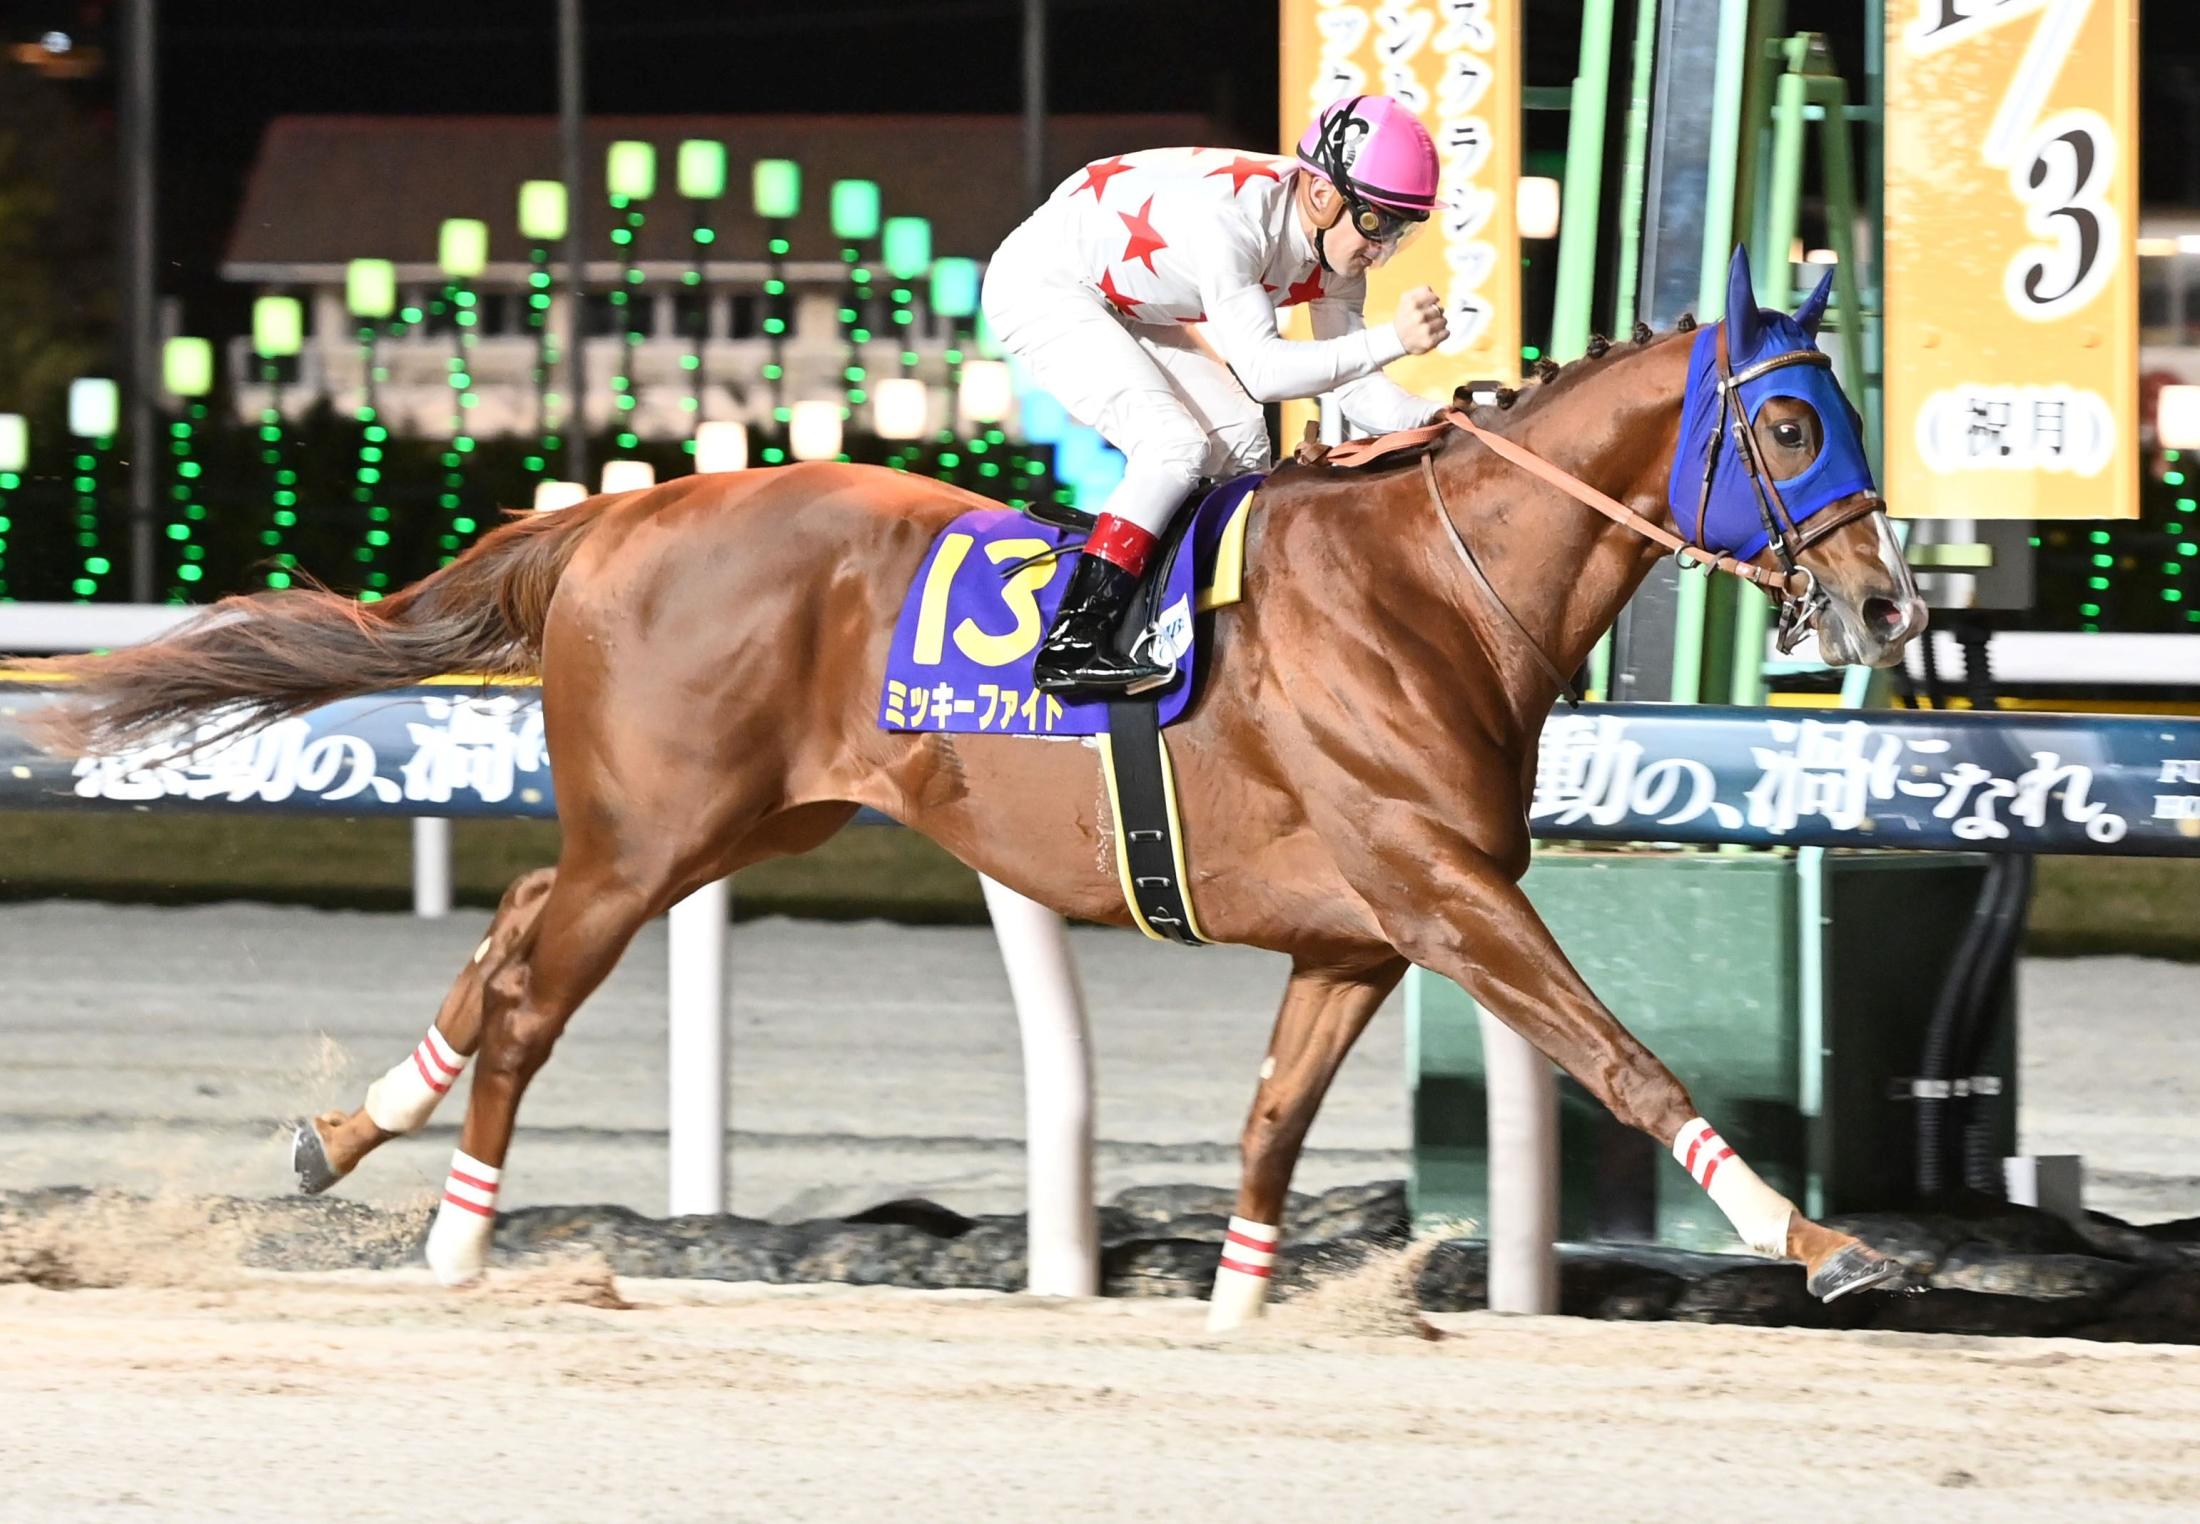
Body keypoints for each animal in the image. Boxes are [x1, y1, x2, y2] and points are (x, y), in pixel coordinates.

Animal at [24, 249, 1925, 1326]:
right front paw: (1828, 1242)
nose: (1893, 601)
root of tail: (620, 513)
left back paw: (345, 1134)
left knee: (506, 929)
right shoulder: (1450, 891)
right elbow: (1622, 1053)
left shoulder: (1358, 933)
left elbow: (1270, 1123)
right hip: (655, 835)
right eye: (1787, 427)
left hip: (713, 822)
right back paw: (457, 1245)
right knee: (531, 997)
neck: (1425, 588)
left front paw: (1238, 1308)